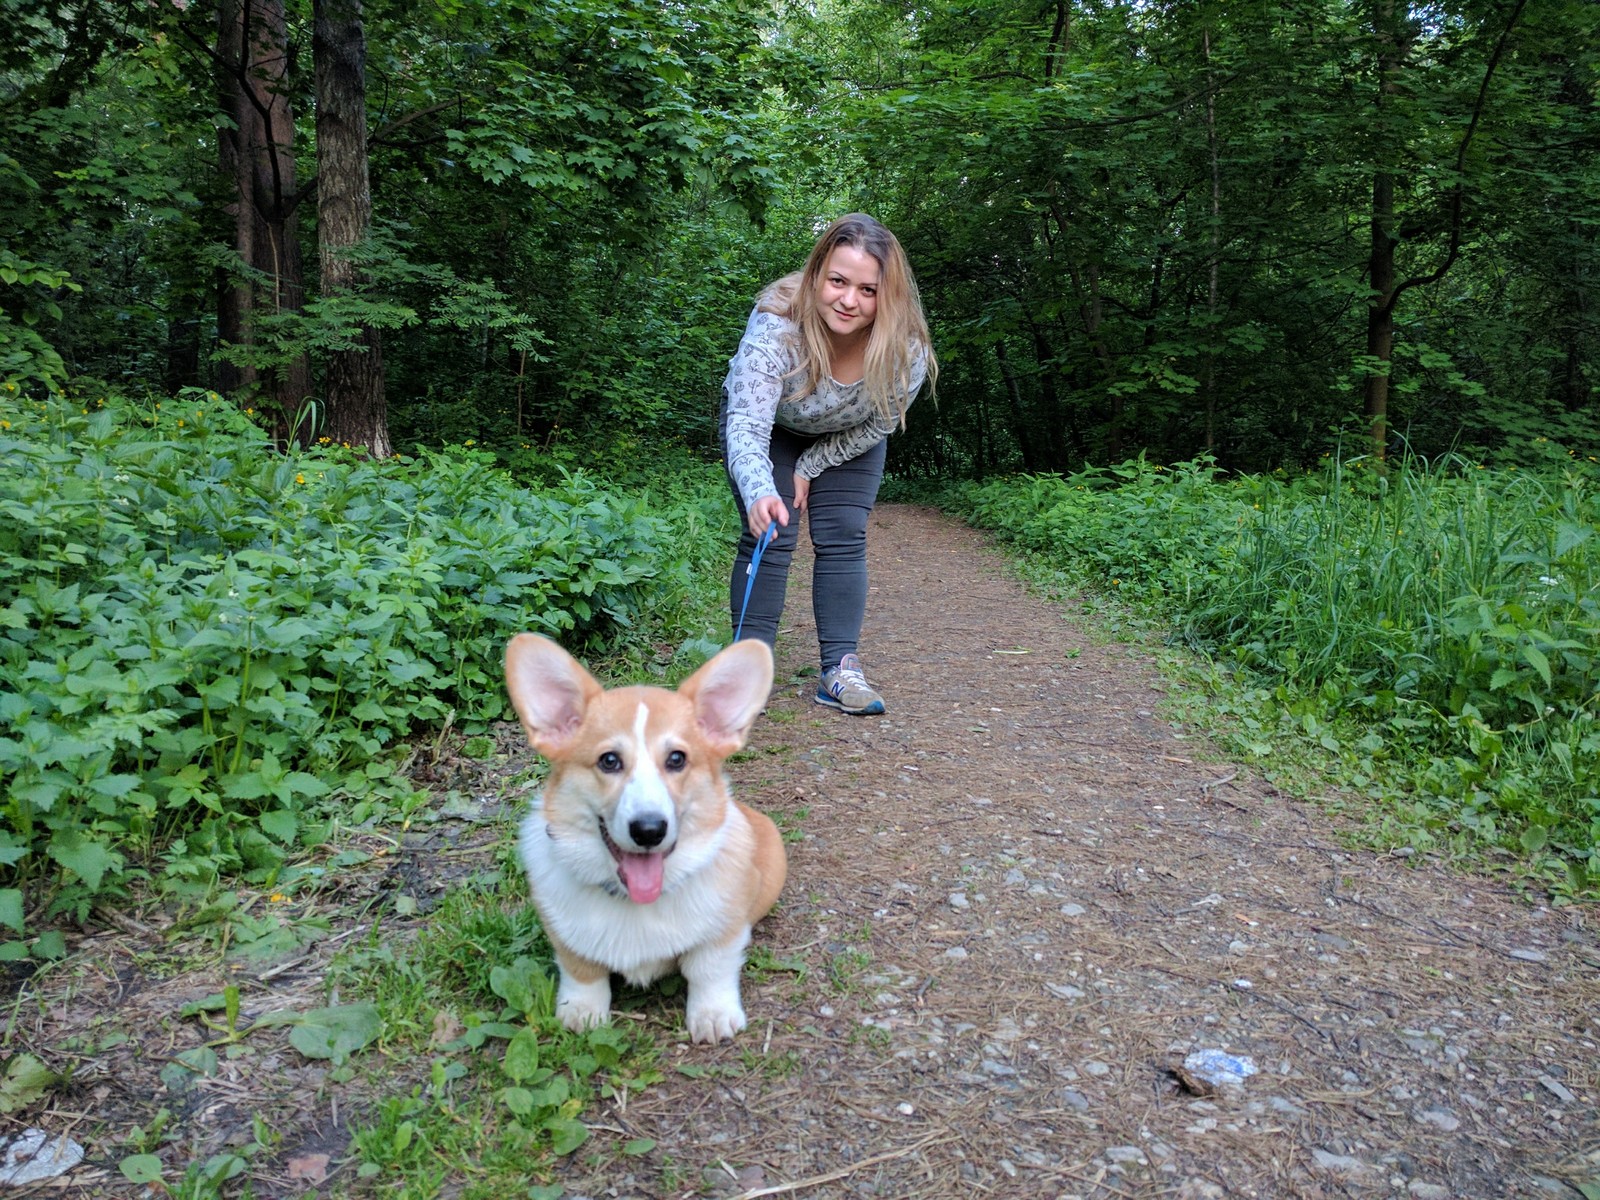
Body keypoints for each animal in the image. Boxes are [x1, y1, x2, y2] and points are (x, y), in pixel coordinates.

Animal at [505, 640, 787, 1043]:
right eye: (609, 761)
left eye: (677, 759)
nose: (650, 830)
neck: (635, 901)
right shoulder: (563, 931)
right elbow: (582, 970)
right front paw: (581, 1012)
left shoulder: (725, 930)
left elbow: (710, 970)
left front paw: (712, 1015)